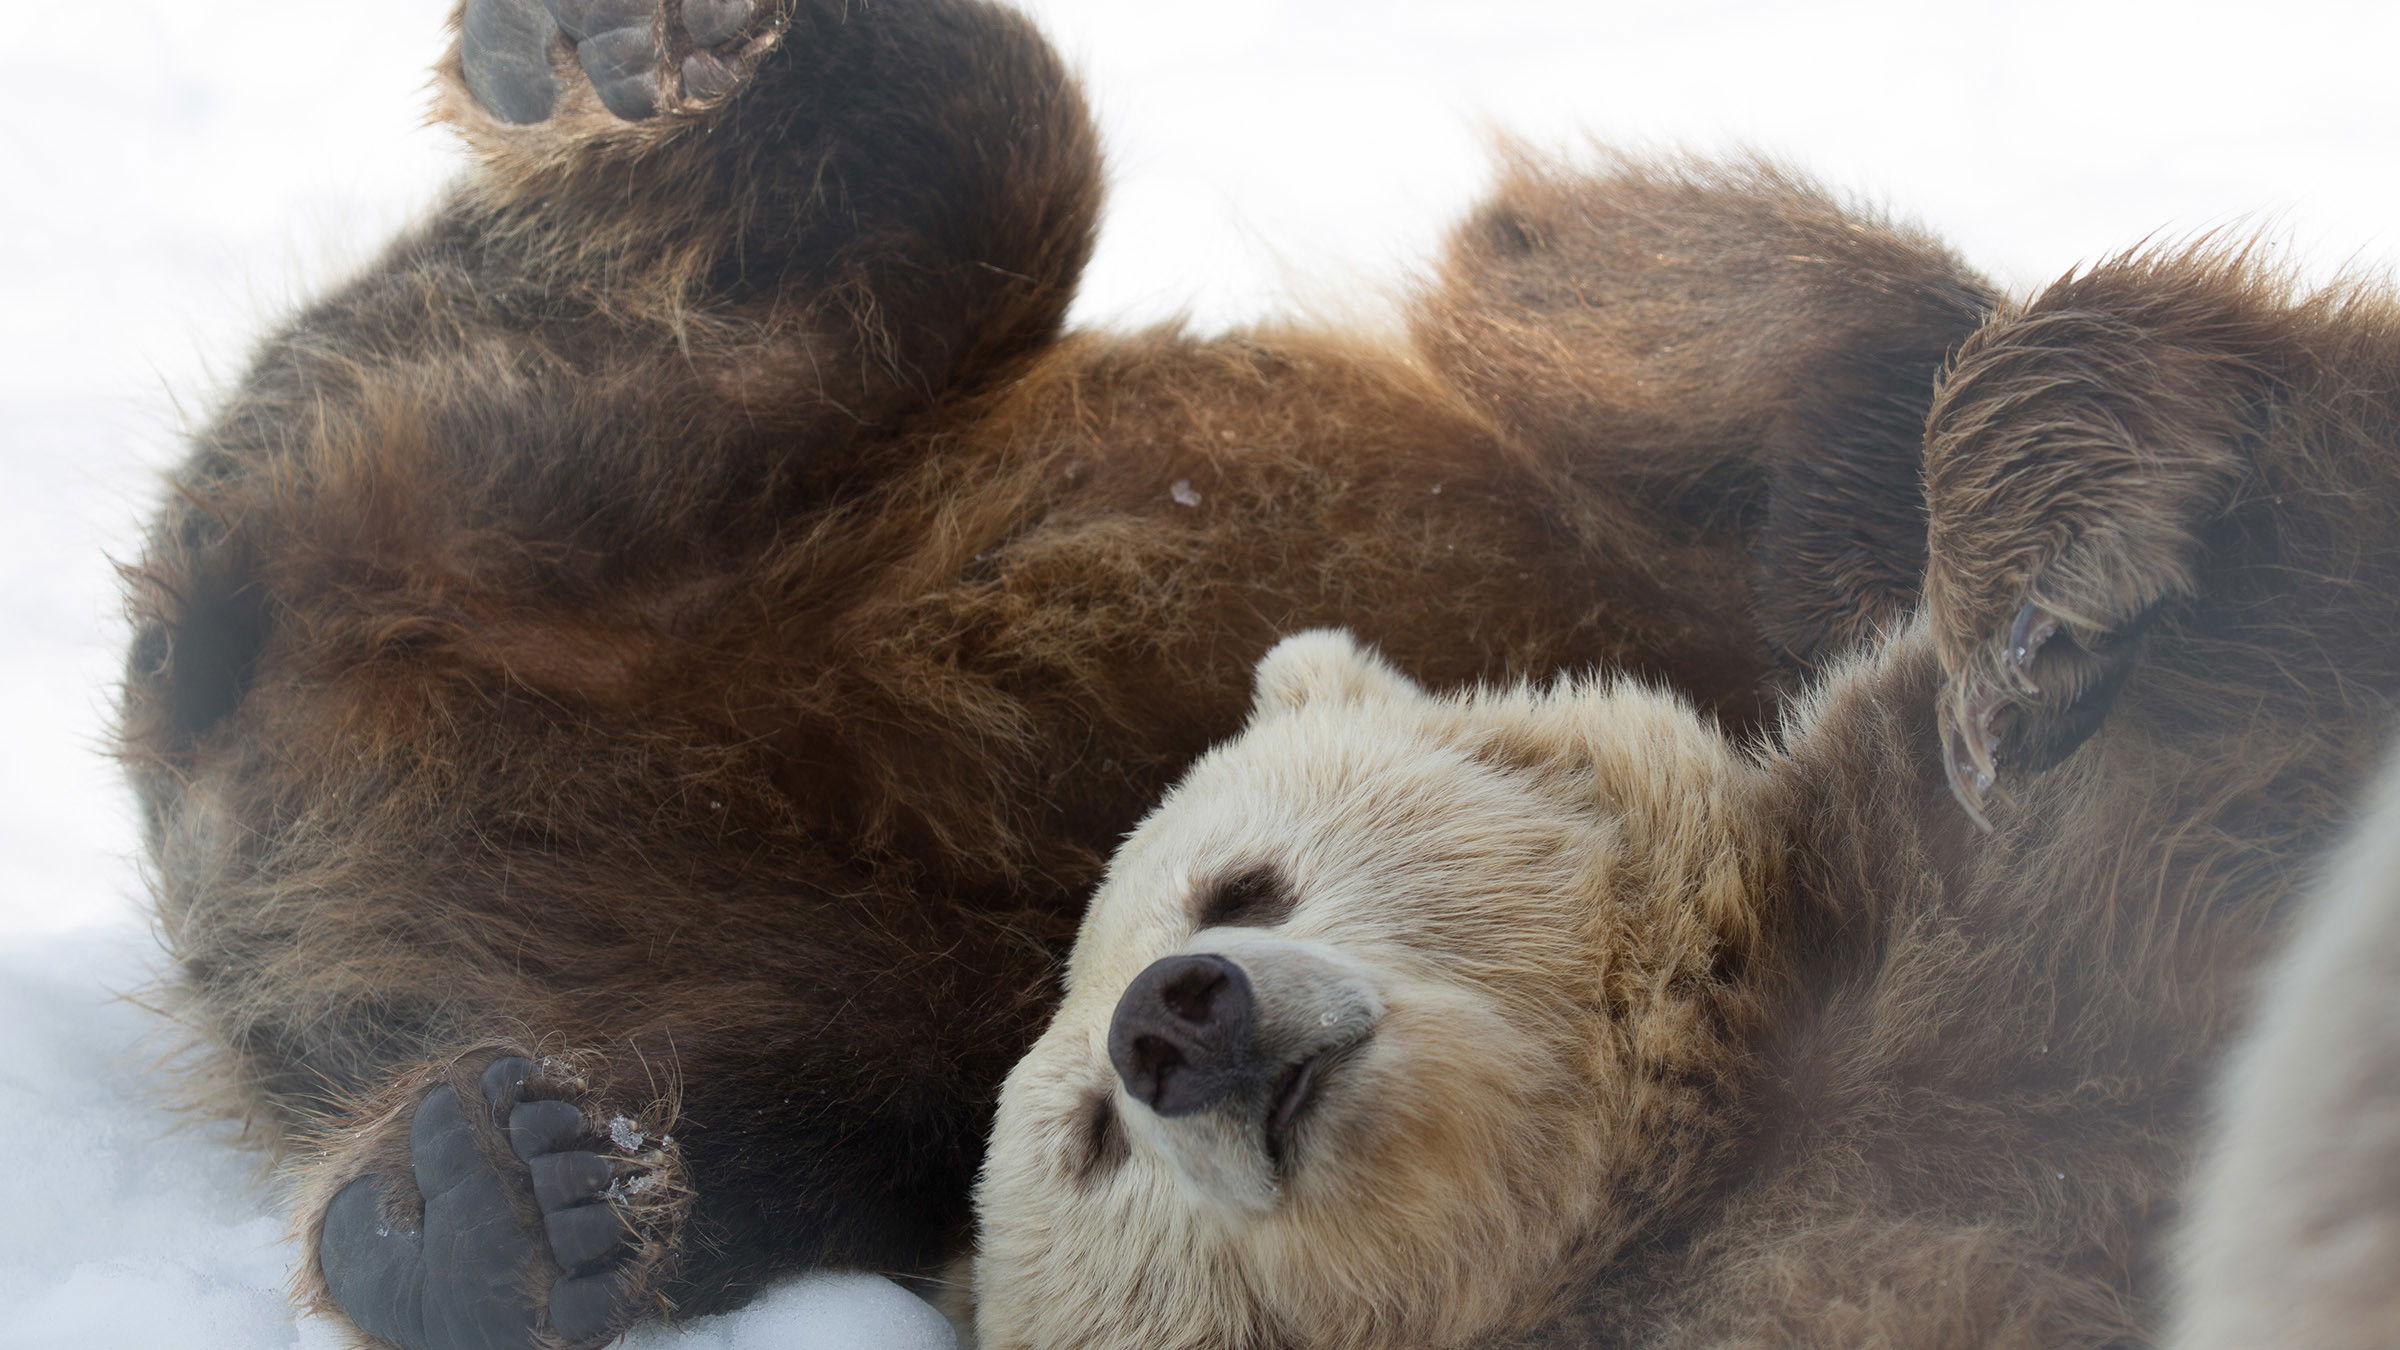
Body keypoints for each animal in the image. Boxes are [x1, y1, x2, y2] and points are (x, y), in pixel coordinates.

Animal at [115, 0, 1997, 1345]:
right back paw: (639, 47)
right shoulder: (1616, 439)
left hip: (761, 972)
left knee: (783, 1121)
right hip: (584, 436)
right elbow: (1706, 298)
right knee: (960, 155)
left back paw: (492, 1207)